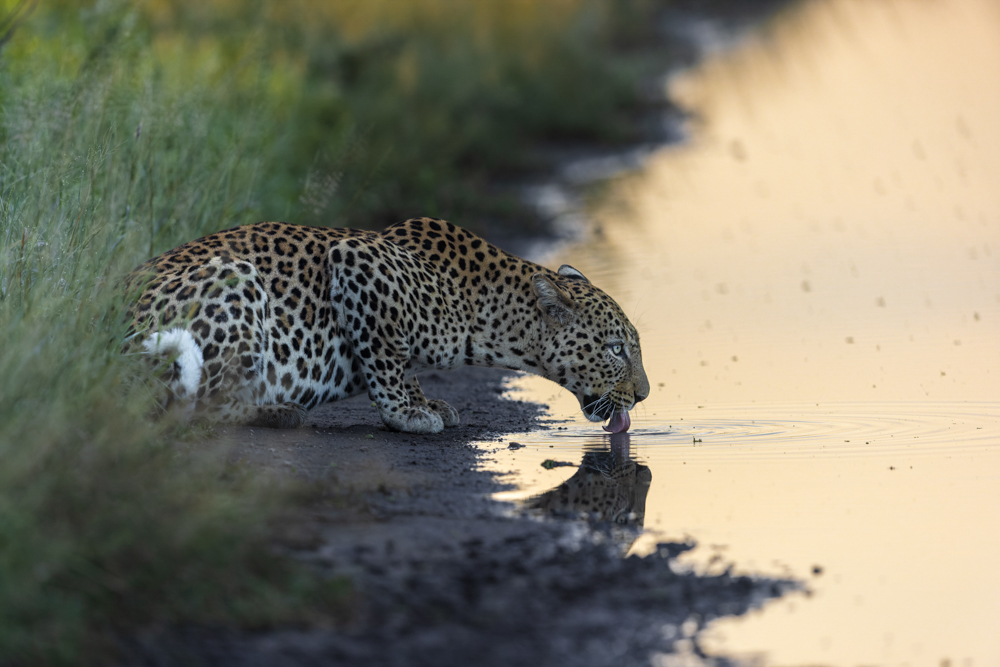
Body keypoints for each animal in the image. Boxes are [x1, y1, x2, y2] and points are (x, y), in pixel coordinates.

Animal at [125, 217, 649, 434]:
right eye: (616, 348)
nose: (644, 395)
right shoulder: (358, 263)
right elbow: (386, 359)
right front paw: (406, 414)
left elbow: (404, 365)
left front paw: (426, 402)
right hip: (236, 279)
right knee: (199, 407)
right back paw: (276, 410)